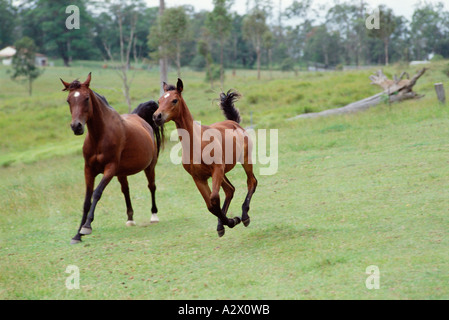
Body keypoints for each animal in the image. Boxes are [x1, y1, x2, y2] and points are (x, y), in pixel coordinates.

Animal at [60, 73, 164, 242]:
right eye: (69, 100)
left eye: (86, 98)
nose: (76, 127)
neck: (99, 137)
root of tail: (139, 117)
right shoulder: (88, 170)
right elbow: (86, 200)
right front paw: (77, 234)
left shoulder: (110, 168)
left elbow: (96, 193)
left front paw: (87, 227)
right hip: (122, 173)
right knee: (126, 190)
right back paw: (130, 219)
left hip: (150, 167)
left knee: (151, 186)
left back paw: (154, 215)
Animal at [152, 79, 256, 236]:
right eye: (159, 101)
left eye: (174, 100)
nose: (157, 116)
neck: (196, 143)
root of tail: (234, 123)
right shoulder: (198, 178)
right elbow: (210, 205)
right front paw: (230, 222)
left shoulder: (216, 170)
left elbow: (214, 198)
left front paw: (233, 220)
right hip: (222, 172)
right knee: (230, 190)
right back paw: (223, 224)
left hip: (244, 160)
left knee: (251, 182)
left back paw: (244, 216)